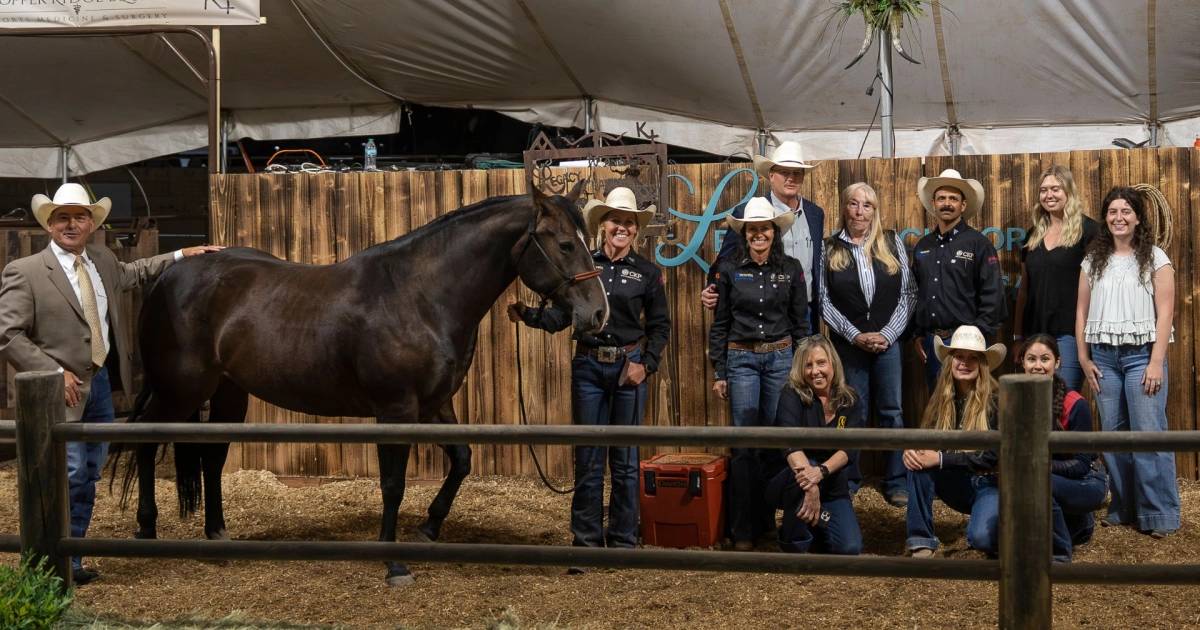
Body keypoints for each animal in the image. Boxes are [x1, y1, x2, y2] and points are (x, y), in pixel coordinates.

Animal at [114, 182, 608, 586]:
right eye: (566, 244)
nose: (598, 313)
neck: (419, 295)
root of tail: (165, 278)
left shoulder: (435, 405)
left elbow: (463, 461)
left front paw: (427, 530)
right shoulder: (396, 410)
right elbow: (393, 485)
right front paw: (393, 564)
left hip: (227, 393)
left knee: (211, 458)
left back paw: (218, 537)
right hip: (180, 391)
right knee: (145, 441)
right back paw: (146, 528)